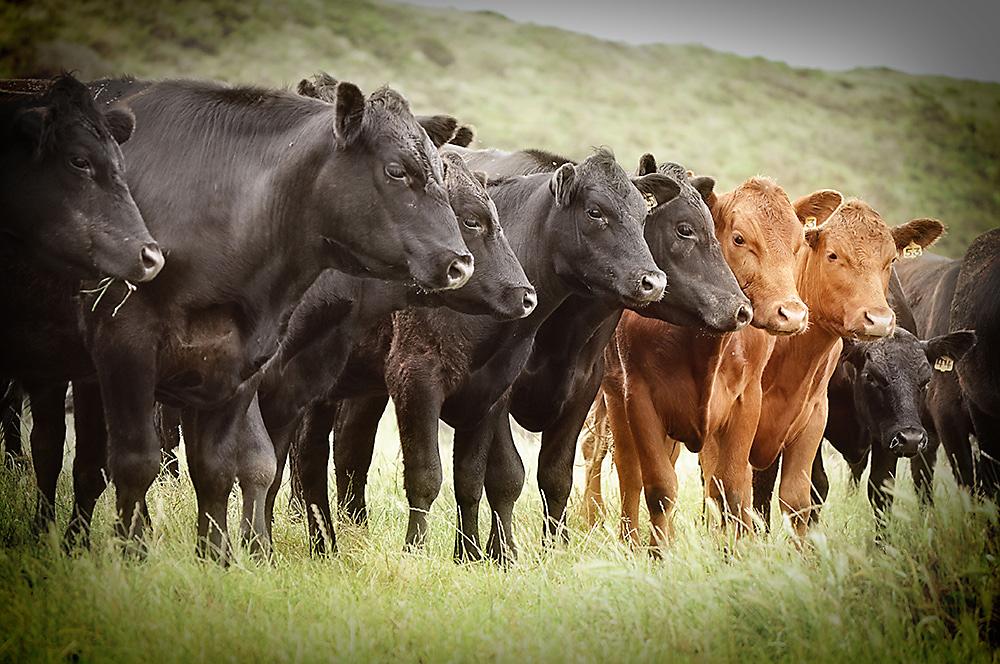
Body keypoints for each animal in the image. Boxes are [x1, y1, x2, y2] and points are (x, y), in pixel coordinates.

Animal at [77, 76, 473, 561]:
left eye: (439, 169)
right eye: (396, 170)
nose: (460, 263)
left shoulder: (249, 368)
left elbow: (237, 466)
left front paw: (234, 555)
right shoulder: (124, 346)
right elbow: (143, 461)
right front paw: (137, 554)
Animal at [584, 178, 840, 550]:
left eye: (797, 244)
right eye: (739, 238)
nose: (791, 313)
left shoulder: (746, 401)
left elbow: (731, 489)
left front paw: (736, 552)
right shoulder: (640, 399)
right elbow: (658, 488)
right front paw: (658, 553)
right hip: (616, 397)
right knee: (628, 473)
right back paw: (630, 540)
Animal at [749, 204, 944, 535]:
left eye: (925, 381)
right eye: (873, 377)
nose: (878, 320)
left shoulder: (887, 431)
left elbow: (881, 490)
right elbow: (816, 487)